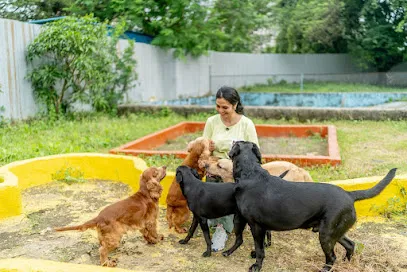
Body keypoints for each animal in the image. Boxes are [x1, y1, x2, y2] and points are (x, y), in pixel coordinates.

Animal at [225, 141, 396, 272]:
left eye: (235, 142)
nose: (231, 141)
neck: (250, 173)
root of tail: (349, 194)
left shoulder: (256, 225)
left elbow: (260, 250)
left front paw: (256, 265)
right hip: (334, 231)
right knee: (350, 245)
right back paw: (346, 262)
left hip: (326, 234)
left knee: (332, 256)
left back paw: (326, 268)